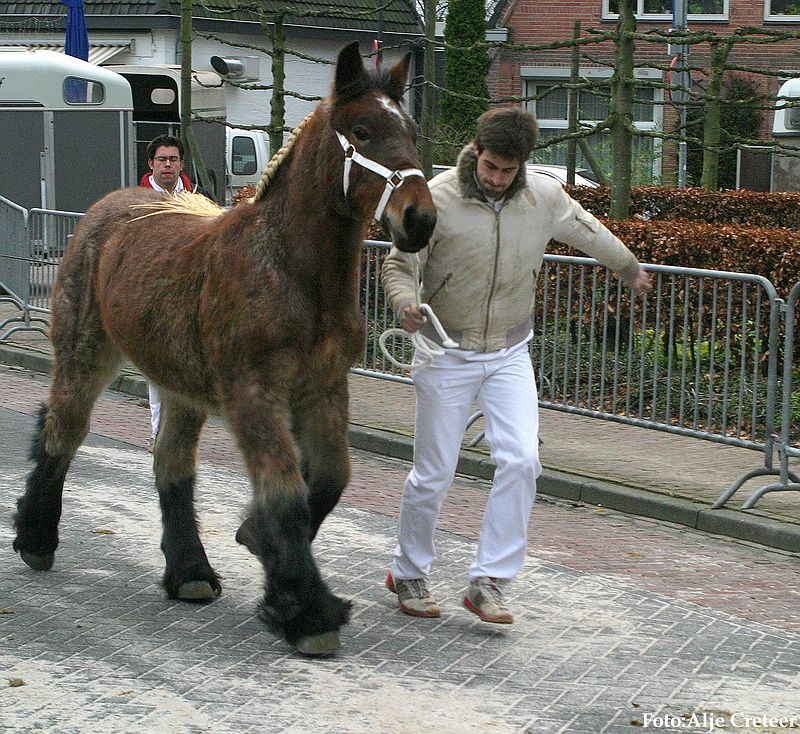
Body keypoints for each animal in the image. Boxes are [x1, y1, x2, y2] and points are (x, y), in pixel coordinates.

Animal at [10, 43, 438, 660]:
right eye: (362, 129)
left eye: (409, 129)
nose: (419, 219)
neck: (289, 268)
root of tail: (109, 209)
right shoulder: (253, 394)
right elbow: (285, 487)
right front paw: (307, 610)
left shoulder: (324, 388)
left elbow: (331, 477)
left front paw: (260, 545)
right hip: (84, 357)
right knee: (61, 431)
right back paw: (37, 538)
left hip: (181, 386)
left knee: (171, 463)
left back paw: (189, 572)